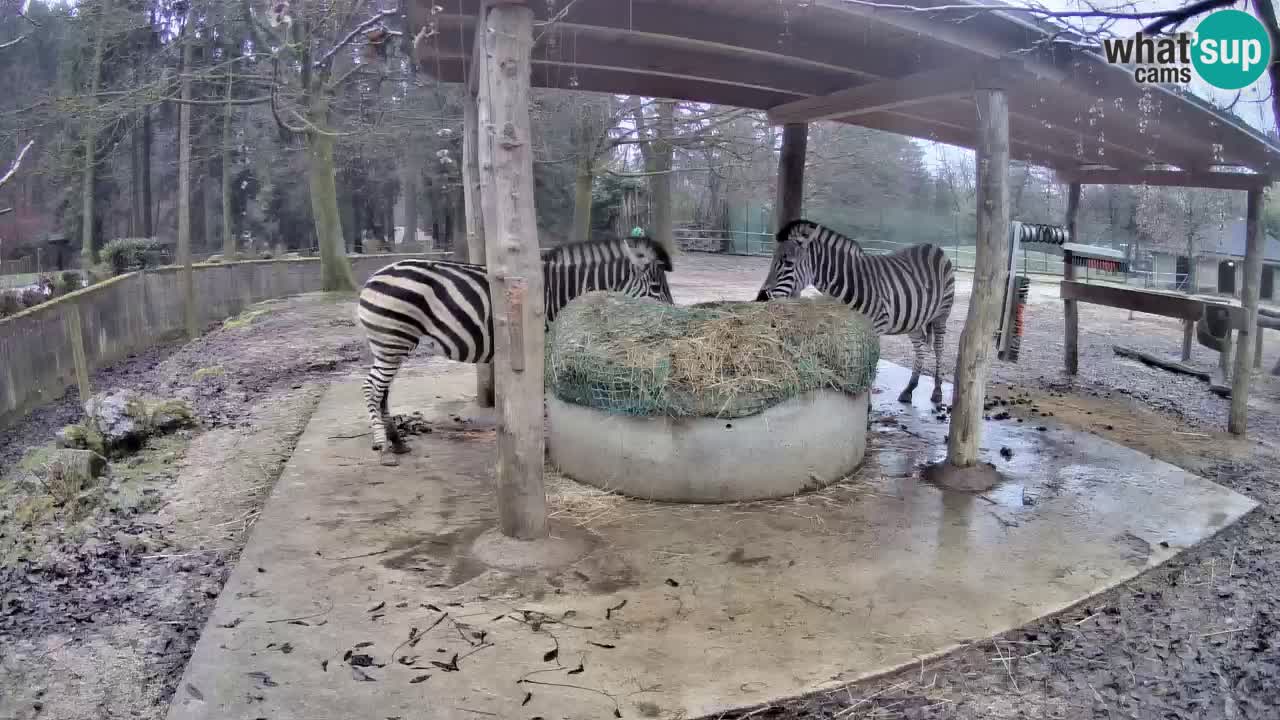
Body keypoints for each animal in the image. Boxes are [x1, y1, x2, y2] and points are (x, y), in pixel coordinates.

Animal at [355, 233, 675, 461]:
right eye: (656, 288)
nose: (674, 317)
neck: (561, 293)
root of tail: (373, 277)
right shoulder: (541, 345)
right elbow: (542, 397)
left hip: (392, 344)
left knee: (382, 390)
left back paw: (397, 442)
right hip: (392, 339)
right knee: (372, 388)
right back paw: (383, 446)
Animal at [752, 215, 957, 407]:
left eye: (788, 263)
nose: (761, 298)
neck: (851, 282)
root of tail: (933, 246)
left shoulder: (877, 326)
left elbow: (871, 365)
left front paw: (868, 408)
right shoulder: (853, 327)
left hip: (942, 313)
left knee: (938, 347)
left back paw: (937, 392)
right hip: (913, 318)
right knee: (920, 346)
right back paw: (909, 389)